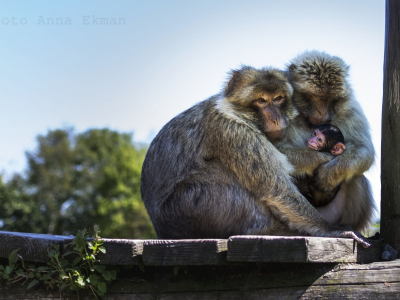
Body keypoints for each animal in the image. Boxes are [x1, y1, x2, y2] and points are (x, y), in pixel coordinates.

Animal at [139, 65, 370, 246]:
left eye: (278, 99)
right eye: (261, 101)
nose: (275, 118)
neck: (235, 111)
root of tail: (162, 231)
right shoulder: (233, 130)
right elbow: (275, 187)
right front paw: (329, 229)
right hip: (186, 209)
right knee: (220, 171)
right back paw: (271, 230)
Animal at [276, 51, 376, 232]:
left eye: (330, 98)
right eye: (315, 96)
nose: (322, 111)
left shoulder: (350, 107)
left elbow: (364, 149)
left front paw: (329, 174)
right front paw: (319, 158)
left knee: (356, 176)